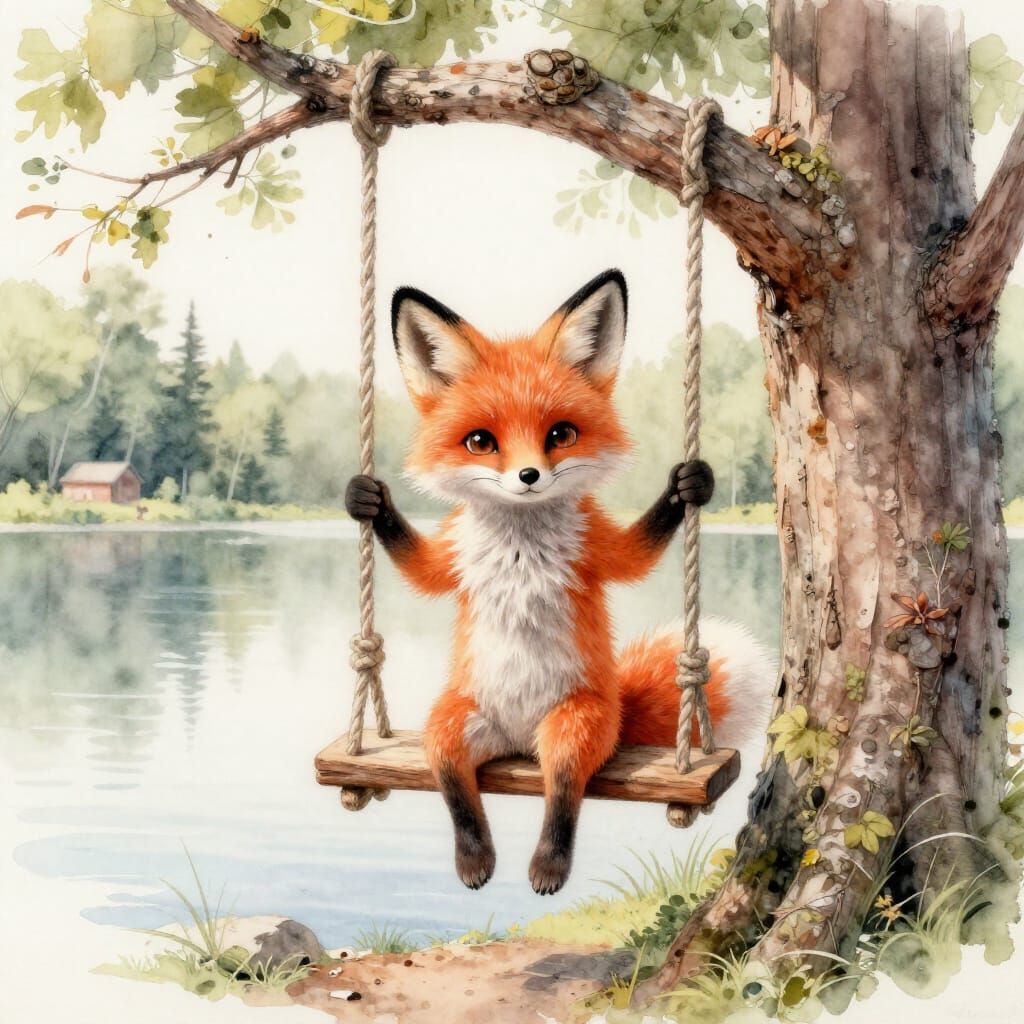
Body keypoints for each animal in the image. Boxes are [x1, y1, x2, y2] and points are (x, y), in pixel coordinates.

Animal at [346, 269, 772, 895]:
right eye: (481, 441)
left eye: (561, 434)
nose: (528, 476)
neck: (521, 541)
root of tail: (520, 741)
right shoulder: (455, 552)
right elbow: (423, 570)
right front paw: (369, 503)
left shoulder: (594, 545)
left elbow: (635, 556)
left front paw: (687, 487)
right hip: (453, 721)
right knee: (453, 779)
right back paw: (474, 858)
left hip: (576, 723)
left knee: (565, 787)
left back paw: (548, 863)